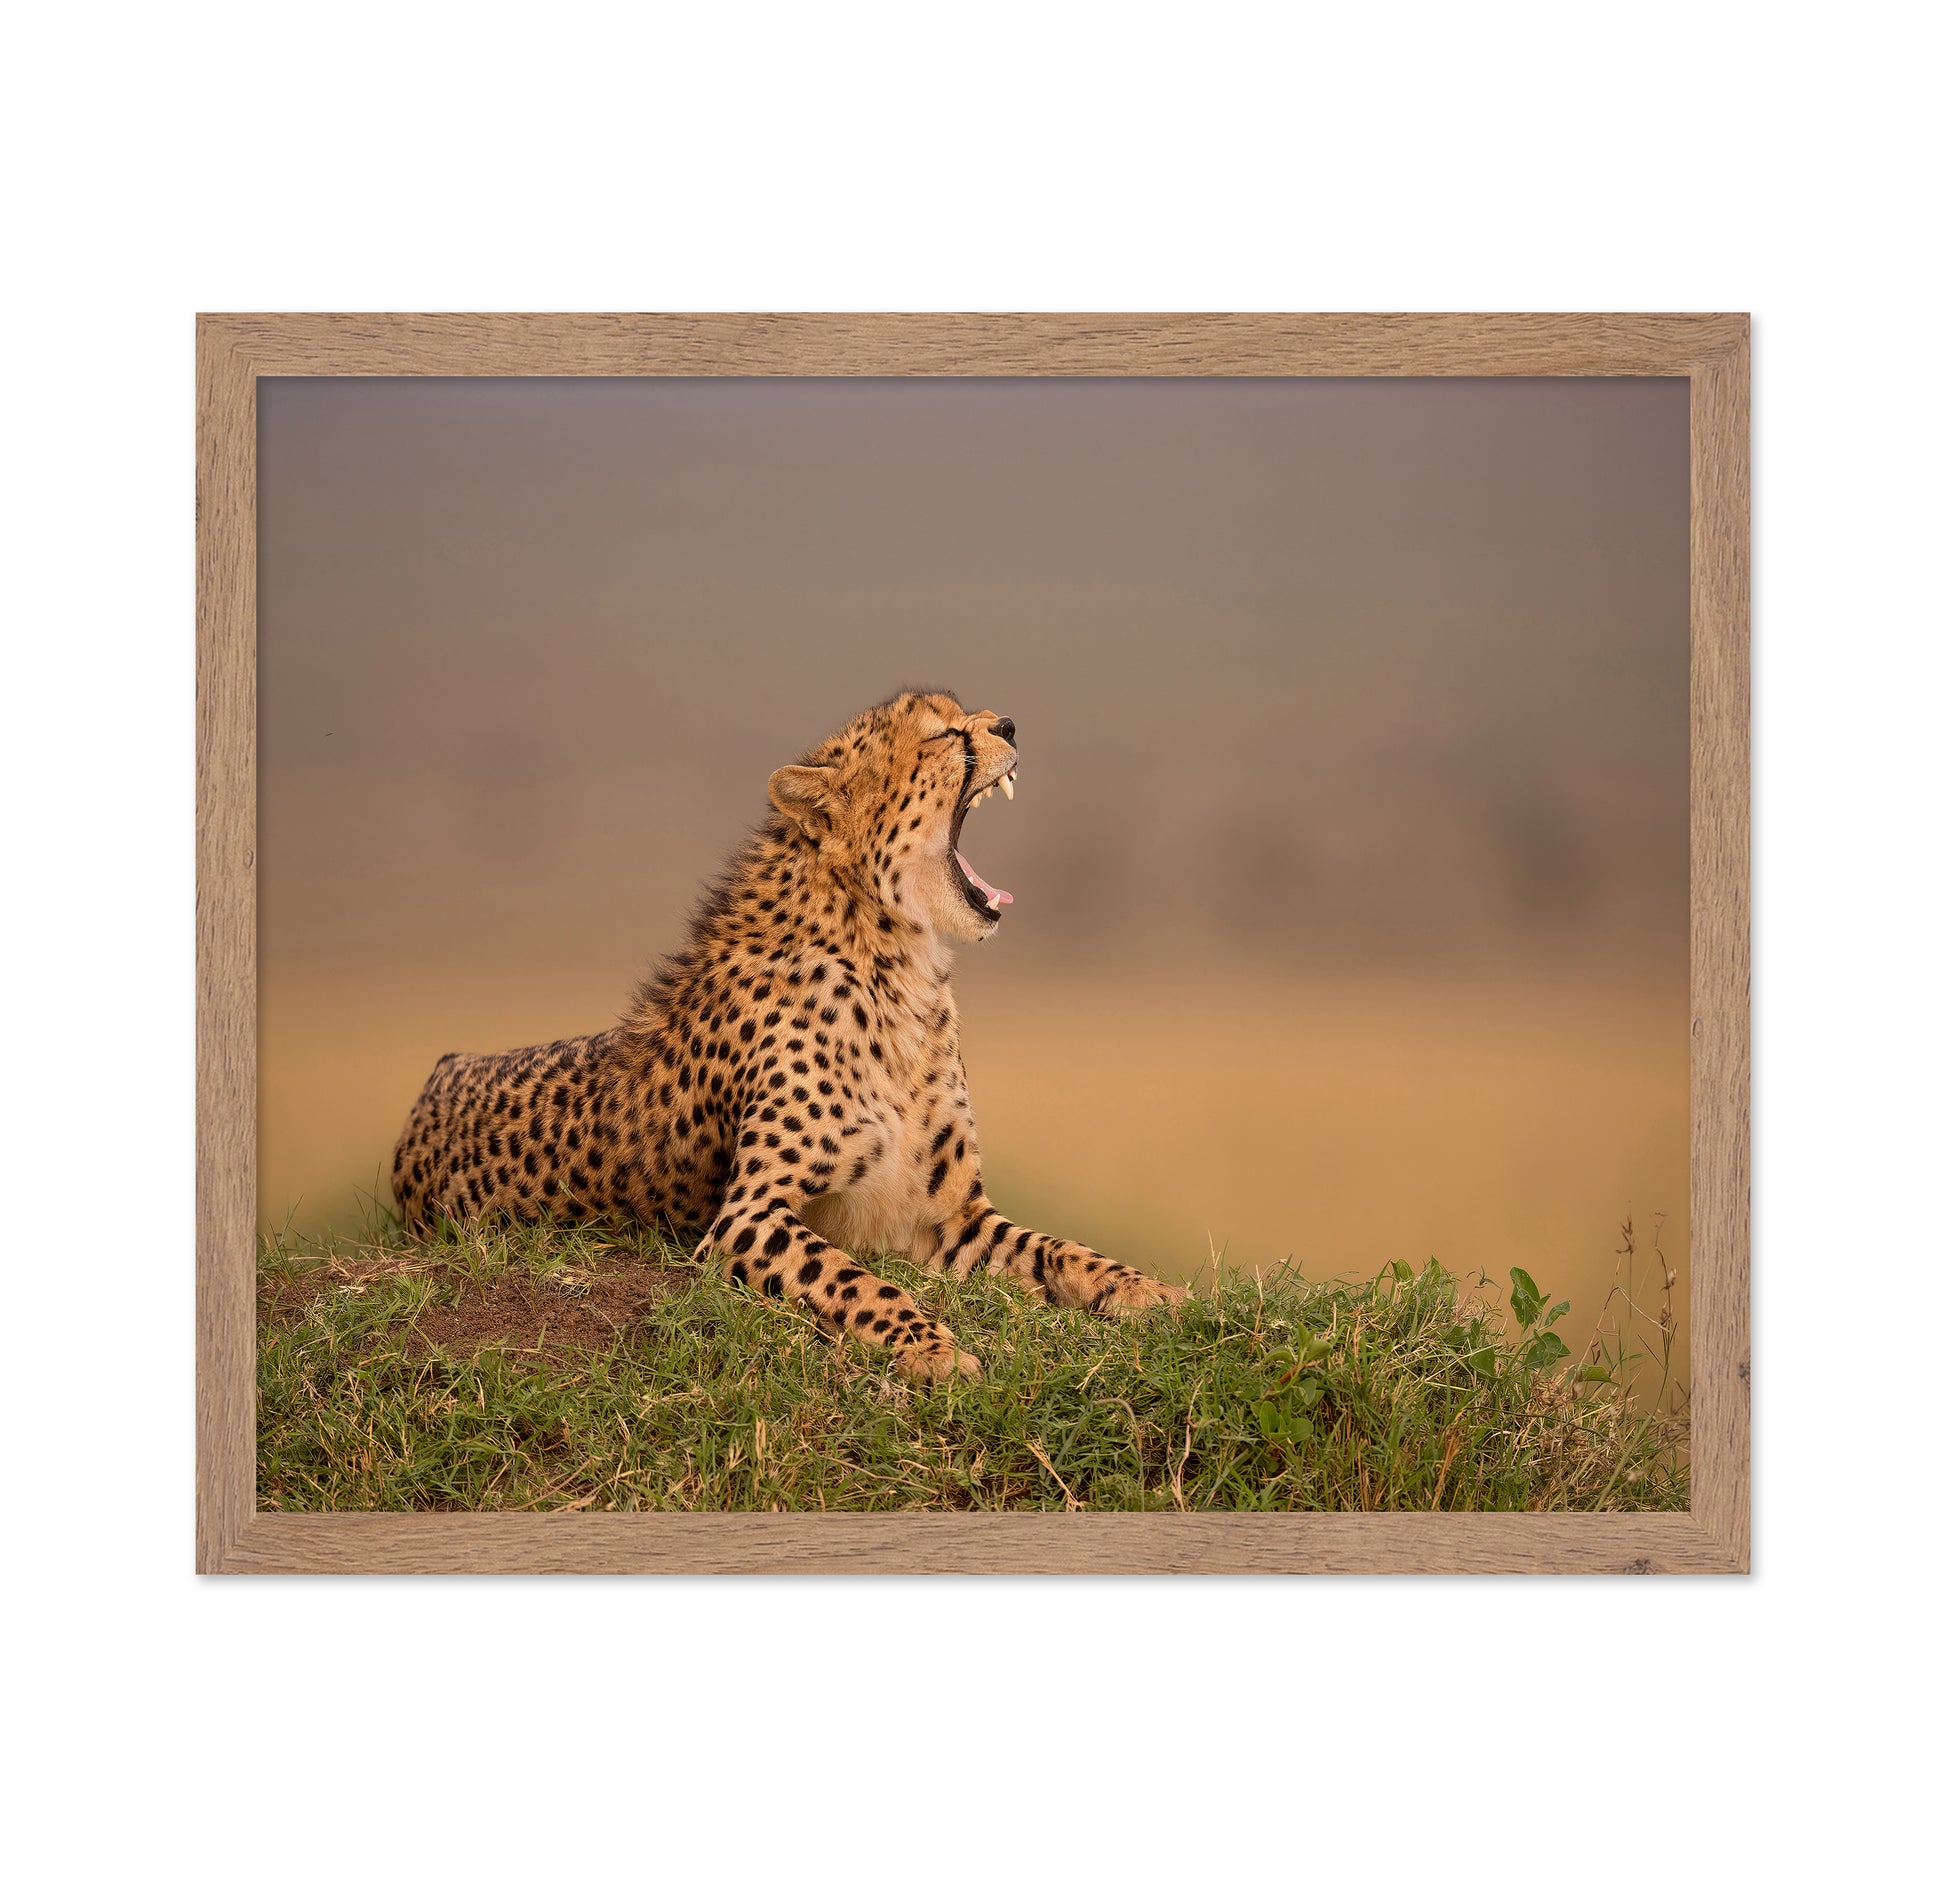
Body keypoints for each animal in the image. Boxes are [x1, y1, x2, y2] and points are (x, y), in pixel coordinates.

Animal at [391, 689, 1187, 1381]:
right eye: (941, 734)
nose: (1011, 725)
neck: (897, 964)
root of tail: (440, 1071)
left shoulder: (953, 1216)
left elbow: (1059, 1247)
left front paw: (1144, 1289)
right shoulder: (747, 1216)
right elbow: (860, 1281)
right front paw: (931, 1347)